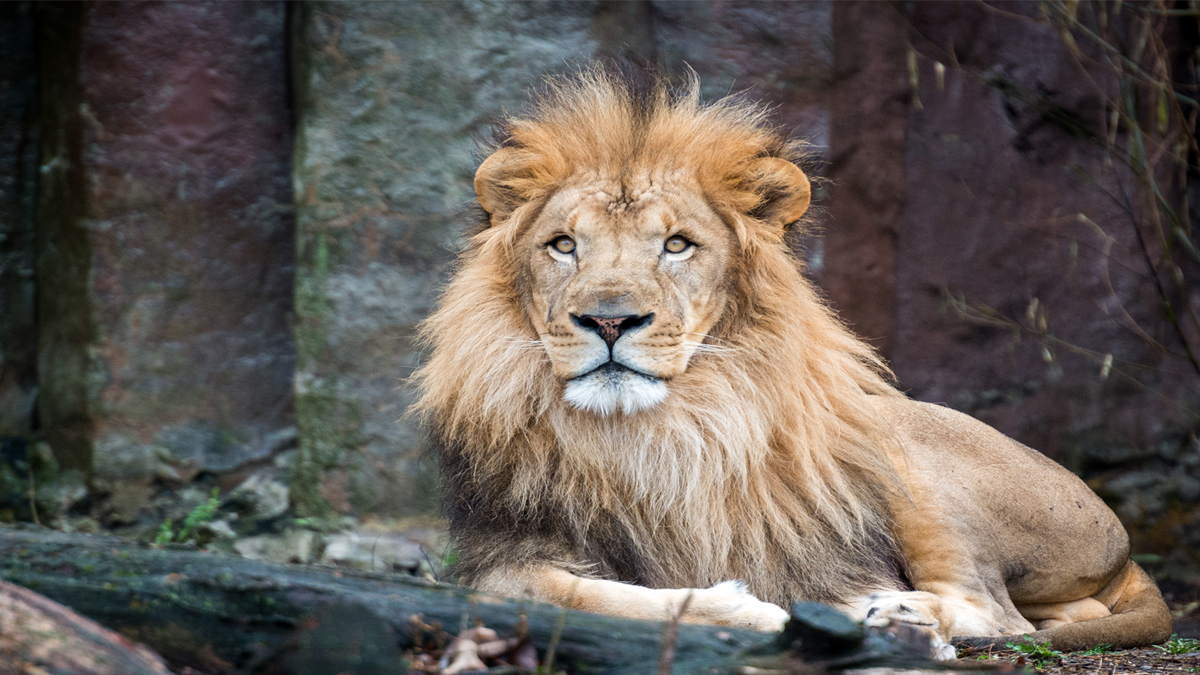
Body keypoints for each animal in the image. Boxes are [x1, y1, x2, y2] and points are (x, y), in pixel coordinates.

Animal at [412, 68, 1172, 659]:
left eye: (678, 245)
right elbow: (577, 594)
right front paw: (750, 609)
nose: (609, 320)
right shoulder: (503, 555)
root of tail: (1126, 545)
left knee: (1000, 614)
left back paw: (894, 618)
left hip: (900, 449)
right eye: (564, 245)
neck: (646, 433)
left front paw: (772, 609)